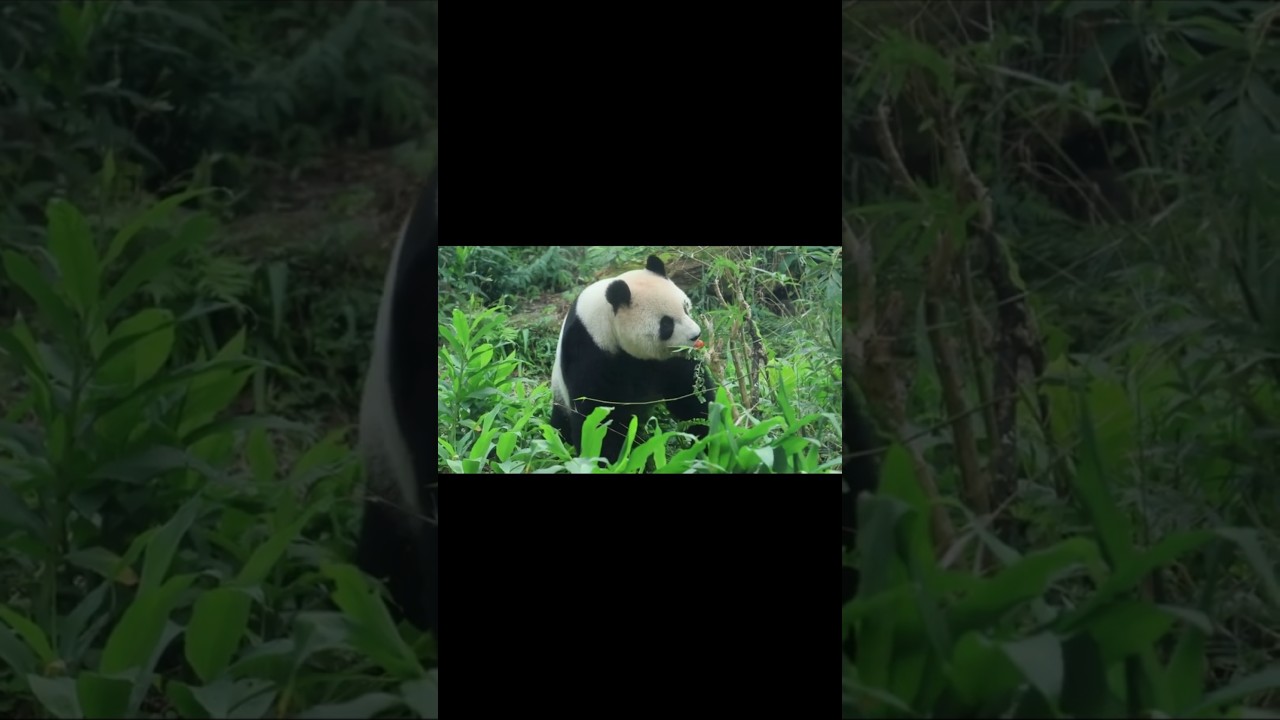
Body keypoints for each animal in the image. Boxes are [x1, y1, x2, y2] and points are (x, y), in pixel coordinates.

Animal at [550, 254, 713, 463]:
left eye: (685, 308)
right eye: (666, 324)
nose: (695, 335)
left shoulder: (668, 359)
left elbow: (688, 394)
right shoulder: (588, 351)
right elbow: (600, 414)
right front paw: (608, 460)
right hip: (559, 393)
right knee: (560, 426)